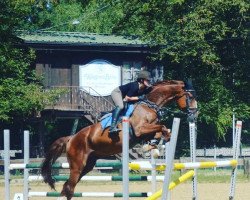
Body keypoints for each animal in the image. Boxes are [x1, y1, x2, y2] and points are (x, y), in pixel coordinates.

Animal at [40, 79, 197, 198]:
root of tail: (71, 138)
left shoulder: (146, 131)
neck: (148, 105)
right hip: (77, 165)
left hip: (88, 165)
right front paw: (151, 147)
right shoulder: (140, 130)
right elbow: (162, 127)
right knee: (69, 188)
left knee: (66, 186)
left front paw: (152, 147)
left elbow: (162, 131)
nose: (194, 115)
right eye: (190, 97)